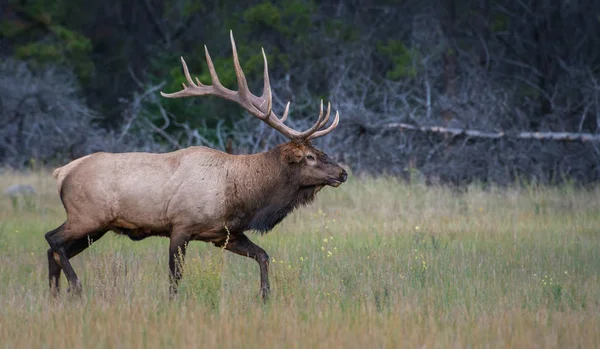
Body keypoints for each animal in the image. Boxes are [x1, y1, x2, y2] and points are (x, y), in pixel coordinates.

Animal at [44, 32, 346, 300]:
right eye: (310, 156)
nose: (342, 173)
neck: (241, 196)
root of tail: (61, 173)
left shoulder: (224, 234)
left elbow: (263, 255)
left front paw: (265, 296)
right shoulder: (181, 226)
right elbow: (174, 277)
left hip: (97, 227)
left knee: (54, 251)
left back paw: (55, 296)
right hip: (86, 216)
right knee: (53, 239)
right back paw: (75, 286)